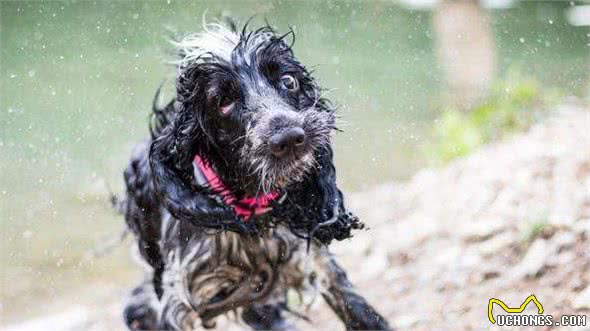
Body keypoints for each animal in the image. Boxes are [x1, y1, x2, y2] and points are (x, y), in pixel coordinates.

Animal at [120, 22, 394, 330]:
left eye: (288, 81)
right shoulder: (178, 299)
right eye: (224, 102)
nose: (289, 138)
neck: (253, 210)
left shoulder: (313, 259)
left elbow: (358, 309)